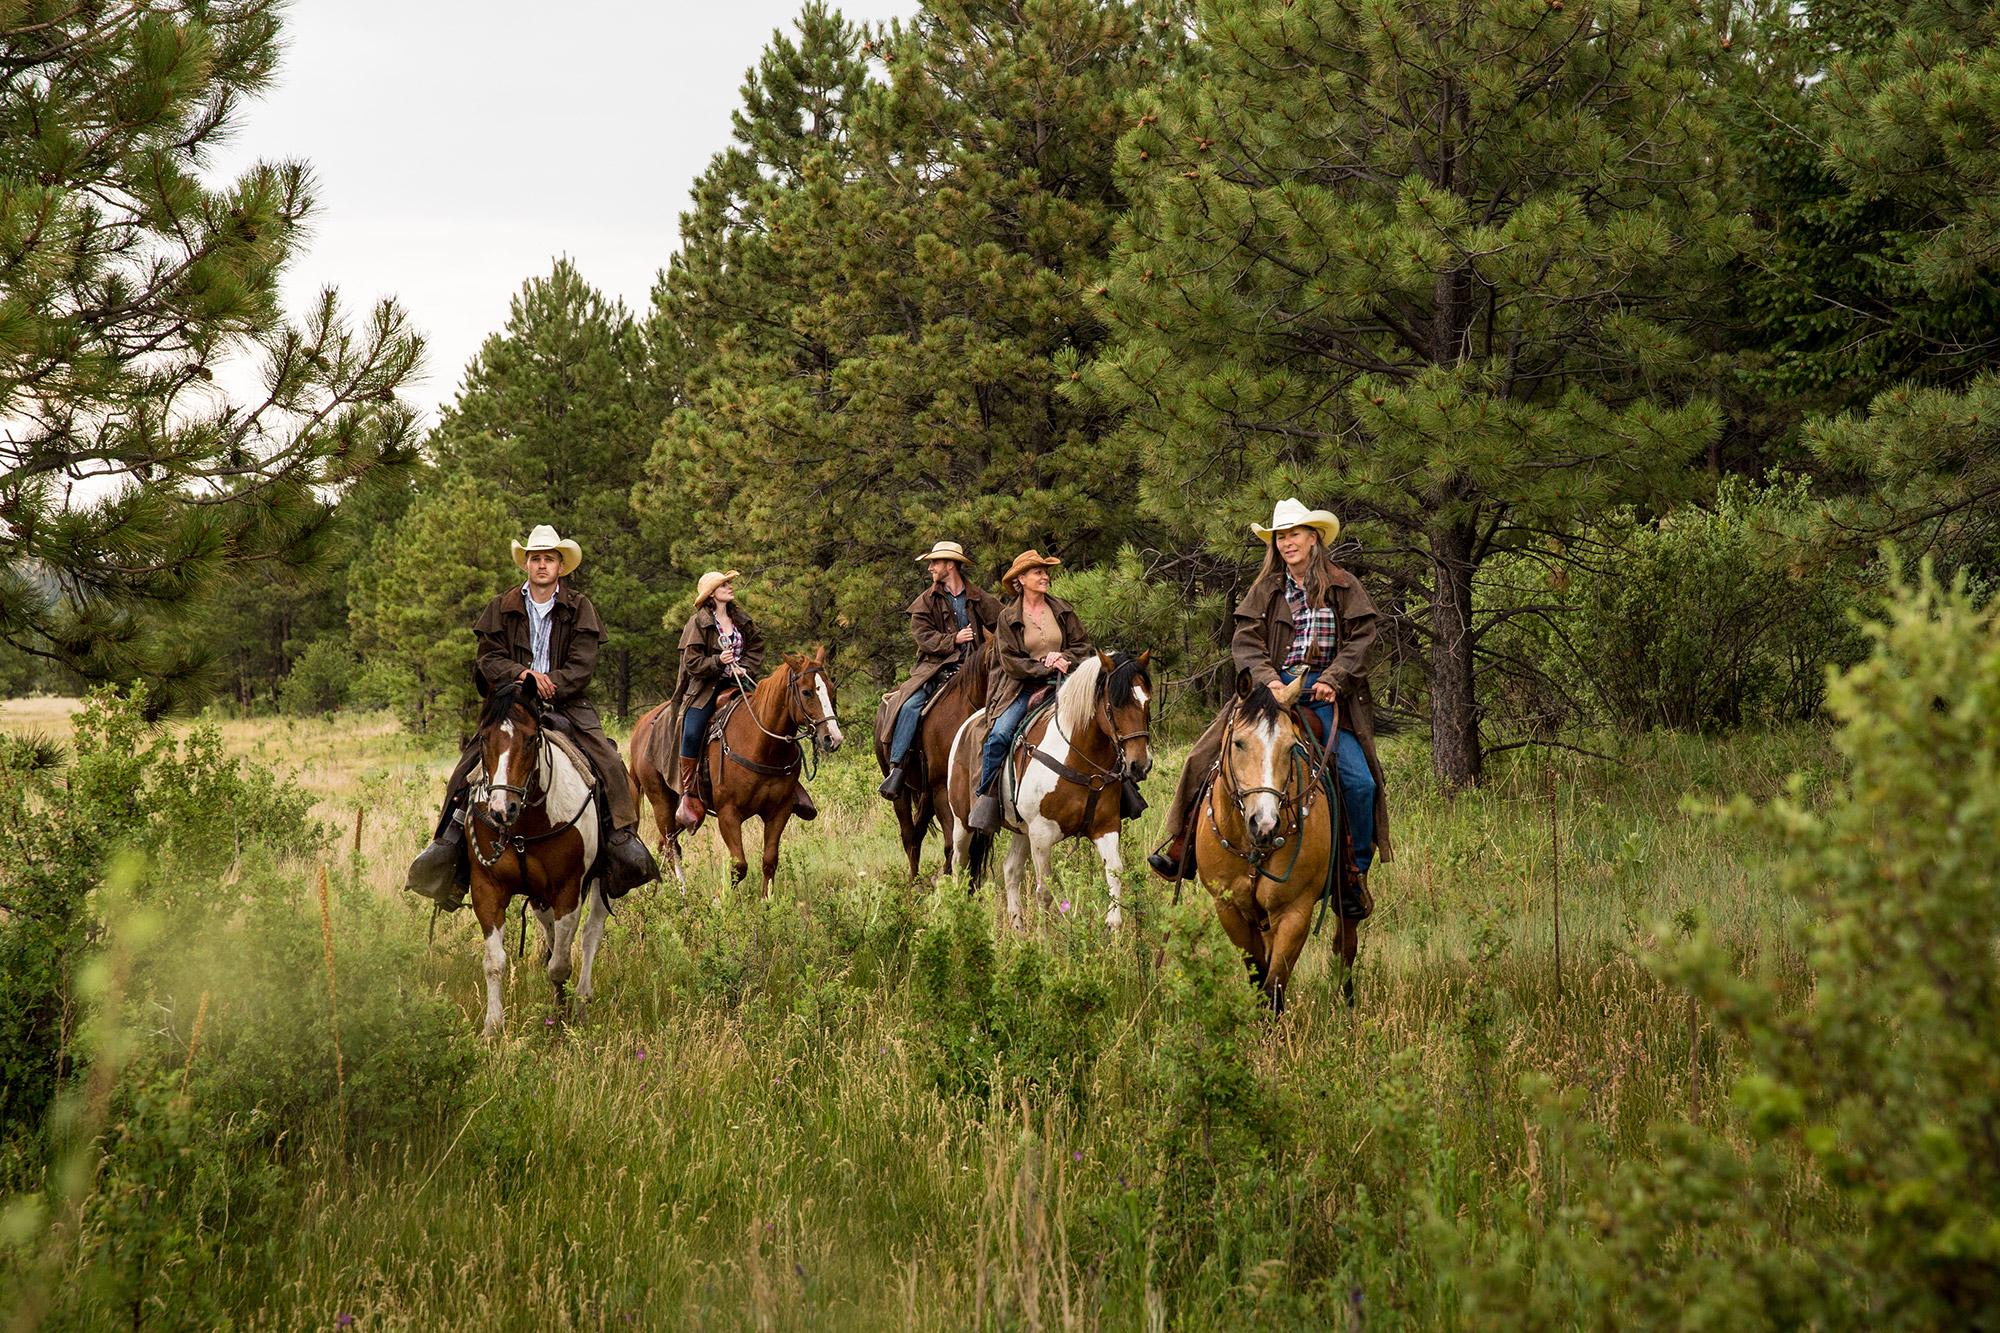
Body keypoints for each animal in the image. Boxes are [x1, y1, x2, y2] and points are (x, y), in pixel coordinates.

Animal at [466, 680, 608, 1032]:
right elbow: (494, 962)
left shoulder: (568, 890)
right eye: (484, 738)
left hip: (601, 884)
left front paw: (560, 1018)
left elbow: (560, 964)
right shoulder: (486, 888)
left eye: (531, 739)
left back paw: (582, 1001)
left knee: (590, 935)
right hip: (541, 897)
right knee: (551, 932)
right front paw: (492, 1027)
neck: (524, 827)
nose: (502, 810)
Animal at [628, 644, 840, 892]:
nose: (833, 738)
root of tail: (641, 725)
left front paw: (767, 900)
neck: (763, 745)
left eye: (831, 690)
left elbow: (769, 861)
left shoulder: (780, 810)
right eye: (807, 692)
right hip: (661, 801)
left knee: (664, 843)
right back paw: (683, 890)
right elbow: (739, 865)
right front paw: (724, 899)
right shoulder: (728, 813)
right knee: (671, 846)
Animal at [952, 648, 1160, 928]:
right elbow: (1044, 893)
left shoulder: (1105, 827)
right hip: (961, 823)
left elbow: (1115, 872)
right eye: (1115, 704)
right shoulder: (1042, 835)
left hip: (1021, 830)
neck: (1079, 759)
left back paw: (1017, 929)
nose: (1140, 765)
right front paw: (1044, 938)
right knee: (958, 866)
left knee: (1011, 870)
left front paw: (1113, 928)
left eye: (1147, 701)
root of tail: (967, 725)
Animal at [1184, 676, 1360, 1008]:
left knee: (1346, 942)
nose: (1264, 824)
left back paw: (1348, 1002)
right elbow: (1258, 978)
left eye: (1291, 747)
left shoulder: (1294, 911)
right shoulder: (1230, 910)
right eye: (1238, 742)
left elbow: (1273, 988)